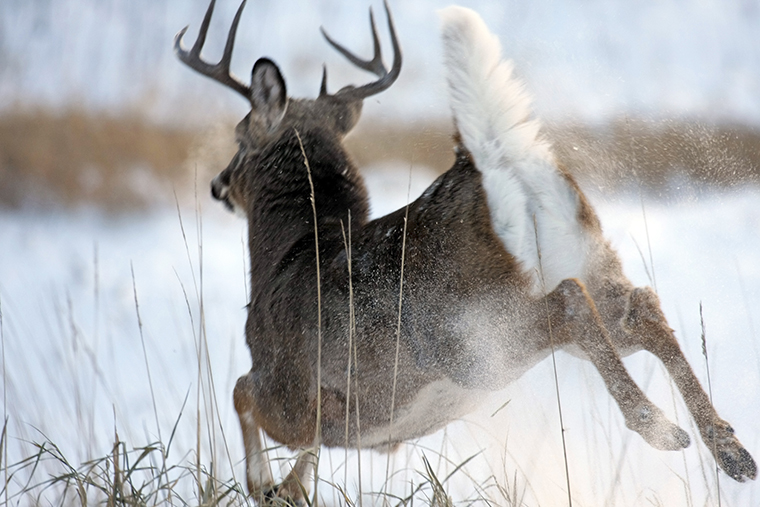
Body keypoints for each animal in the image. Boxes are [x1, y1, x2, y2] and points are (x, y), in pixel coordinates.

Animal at [175, 0, 756, 504]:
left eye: (239, 135)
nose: (218, 184)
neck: (289, 254)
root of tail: (493, 166)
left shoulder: (295, 392)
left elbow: (240, 391)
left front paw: (261, 485)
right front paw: (286, 488)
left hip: (474, 334)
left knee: (570, 302)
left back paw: (660, 428)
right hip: (586, 265)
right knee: (643, 305)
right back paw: (731, 450)